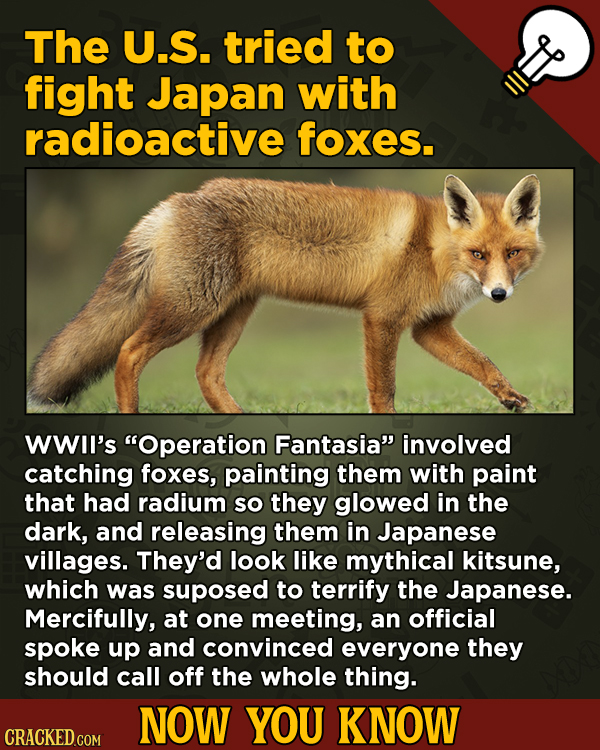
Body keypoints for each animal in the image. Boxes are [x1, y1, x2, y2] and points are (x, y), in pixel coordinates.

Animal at [28, 173, 543, 414]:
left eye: (512, 254)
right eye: (478, 254)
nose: (499, 293)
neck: (435, 249)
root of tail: (176, 201)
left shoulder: (428, 328)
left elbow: (482, 363)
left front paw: (509, 396)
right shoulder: (382, 319)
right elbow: (384, 389)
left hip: (232, 311)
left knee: (206, 374)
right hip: (193, 307)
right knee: (129, 352)